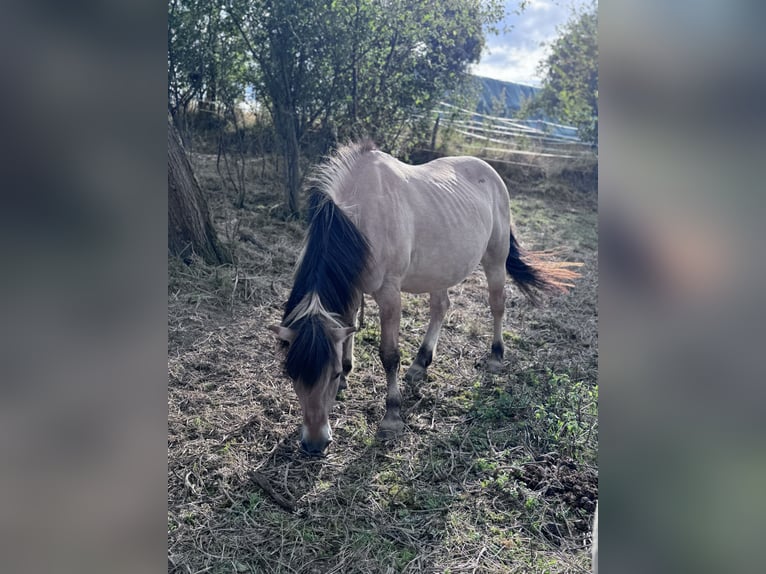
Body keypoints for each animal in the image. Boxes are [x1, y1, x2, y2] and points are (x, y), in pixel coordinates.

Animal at [272, 140, 580, 454]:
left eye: (331, 374)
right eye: (291, 374)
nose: (314, 443)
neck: (361, 213)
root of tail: (491, 173)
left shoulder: (389, 294)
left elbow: (389, 355)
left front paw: (391, 416)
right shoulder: (353, 286)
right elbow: (348, 329)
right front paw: (349, 373)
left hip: (495, 259)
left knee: (497, 304)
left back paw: (495, 356)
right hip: (440, 269)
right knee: (441, 307)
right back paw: (421, 362)